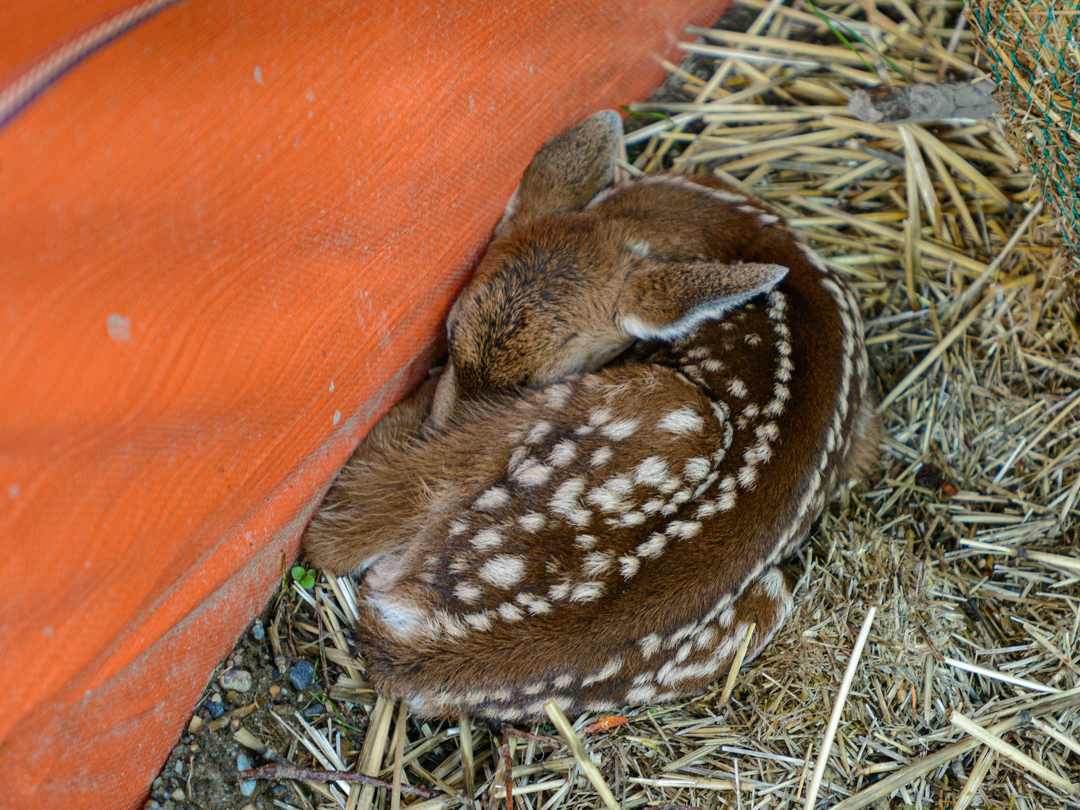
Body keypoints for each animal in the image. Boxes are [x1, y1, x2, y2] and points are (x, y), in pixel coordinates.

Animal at [303, 111, 880, 722]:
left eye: (550, 372)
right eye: (450, 333)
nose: (443, 428)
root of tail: (421, 648)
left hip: (665, 406)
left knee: (334, 535)